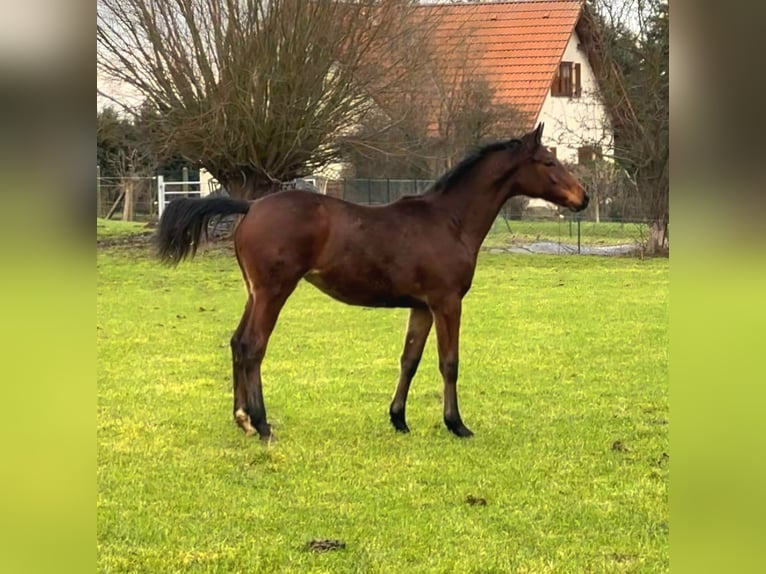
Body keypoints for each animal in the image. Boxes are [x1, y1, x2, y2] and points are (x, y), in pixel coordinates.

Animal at [154, 125, 588, 440]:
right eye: (548, 162)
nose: (582, 197)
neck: (449, 220)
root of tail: (251, 206)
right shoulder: (447, 302)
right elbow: (449, 362)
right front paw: (457, 424)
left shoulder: (421, 306)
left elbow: (410, 360)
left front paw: (399, 419)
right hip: (274, 292)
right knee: (252, 345)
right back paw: (260, 423)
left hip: (254, 293)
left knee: (235, 342)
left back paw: (242, 418)